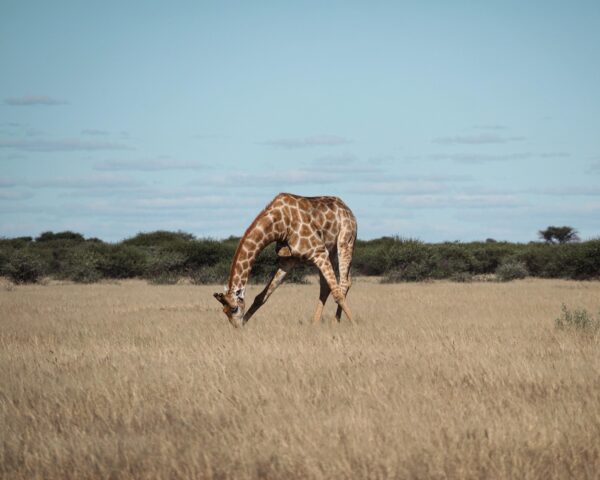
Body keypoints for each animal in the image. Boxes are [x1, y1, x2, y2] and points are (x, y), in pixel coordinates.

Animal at [214, 193, 356, 328]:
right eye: (224, 311)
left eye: (234, 308)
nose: (237, 327)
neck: (279, 224)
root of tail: (347, 209)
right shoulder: (288, 260)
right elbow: (261, 297)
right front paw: (244, 323)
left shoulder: (318, 251)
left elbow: (337, 293)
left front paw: (356, 325)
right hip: (330, 251)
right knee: (328, 286)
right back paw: (315, 323)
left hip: (345, 241)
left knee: (343, 283)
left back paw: (335, 322)